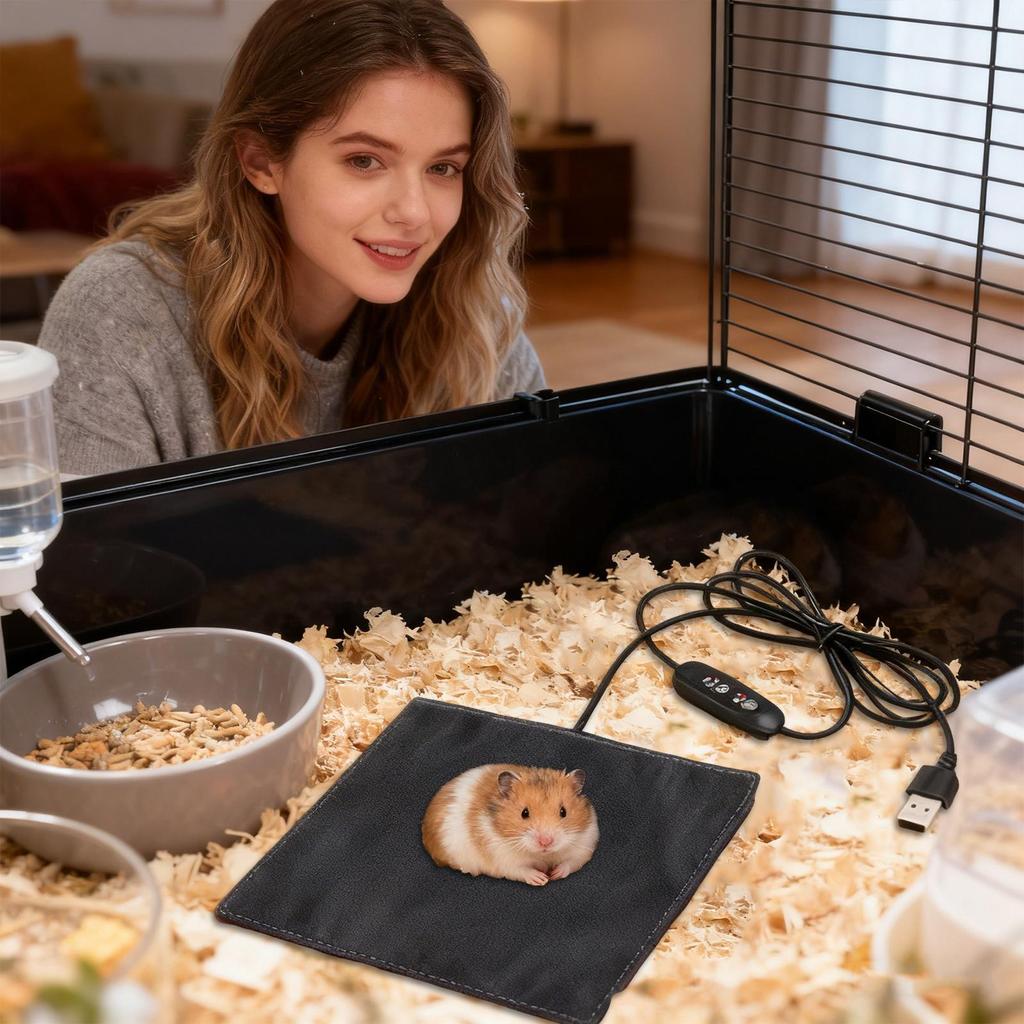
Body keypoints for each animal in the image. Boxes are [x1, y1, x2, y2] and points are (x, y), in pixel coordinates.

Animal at [421, 763, 599, 886]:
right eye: (524, 813)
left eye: (563, 812)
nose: (546, 842)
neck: (543, 855)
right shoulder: (504, 858)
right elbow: (521, 871)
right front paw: (541, 879)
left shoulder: (584, 846)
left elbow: (571, 863)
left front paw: (554, 874)